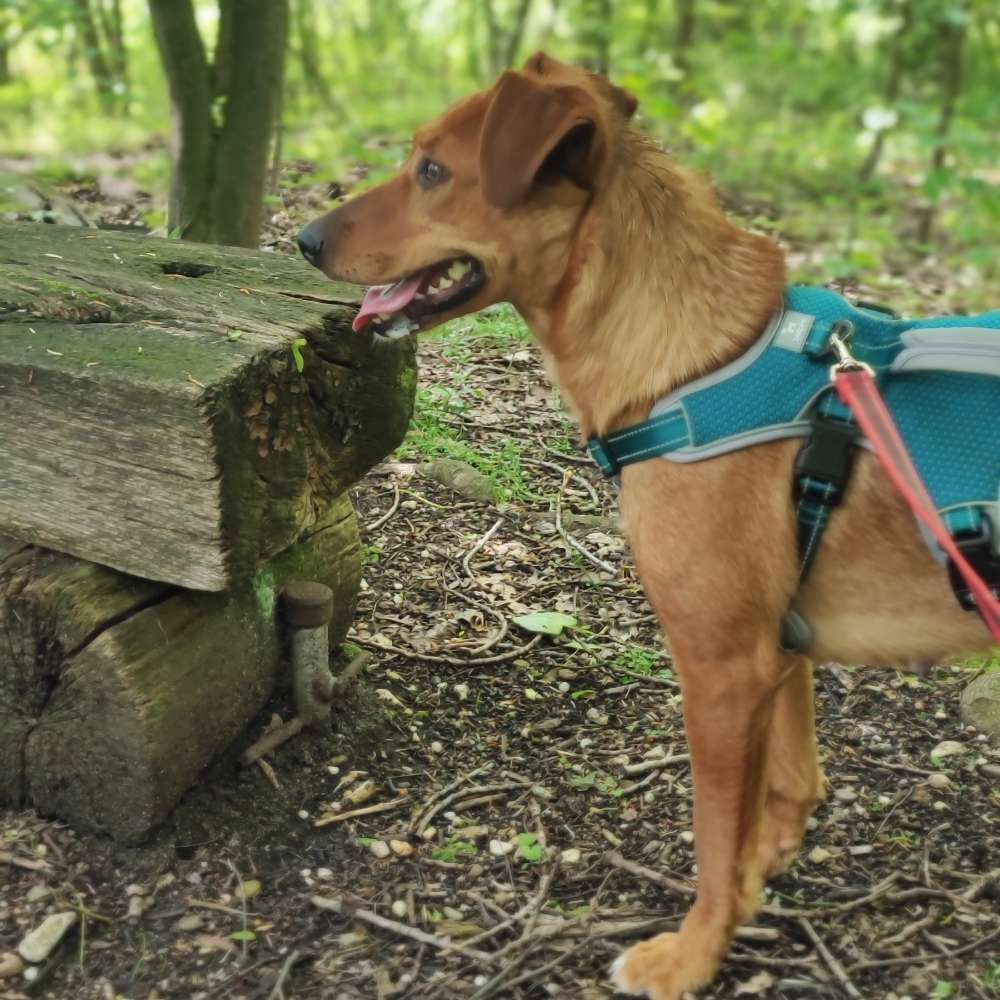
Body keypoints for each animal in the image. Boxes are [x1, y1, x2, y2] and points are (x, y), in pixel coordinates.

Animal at [296, 54, 992, 1000]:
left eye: (433, 170)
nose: (305, 238)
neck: (694, 361)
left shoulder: (723, 669)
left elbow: (715, 840)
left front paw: (692, 955)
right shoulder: (783, 650)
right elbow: (790, 787)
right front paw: (757, 885)